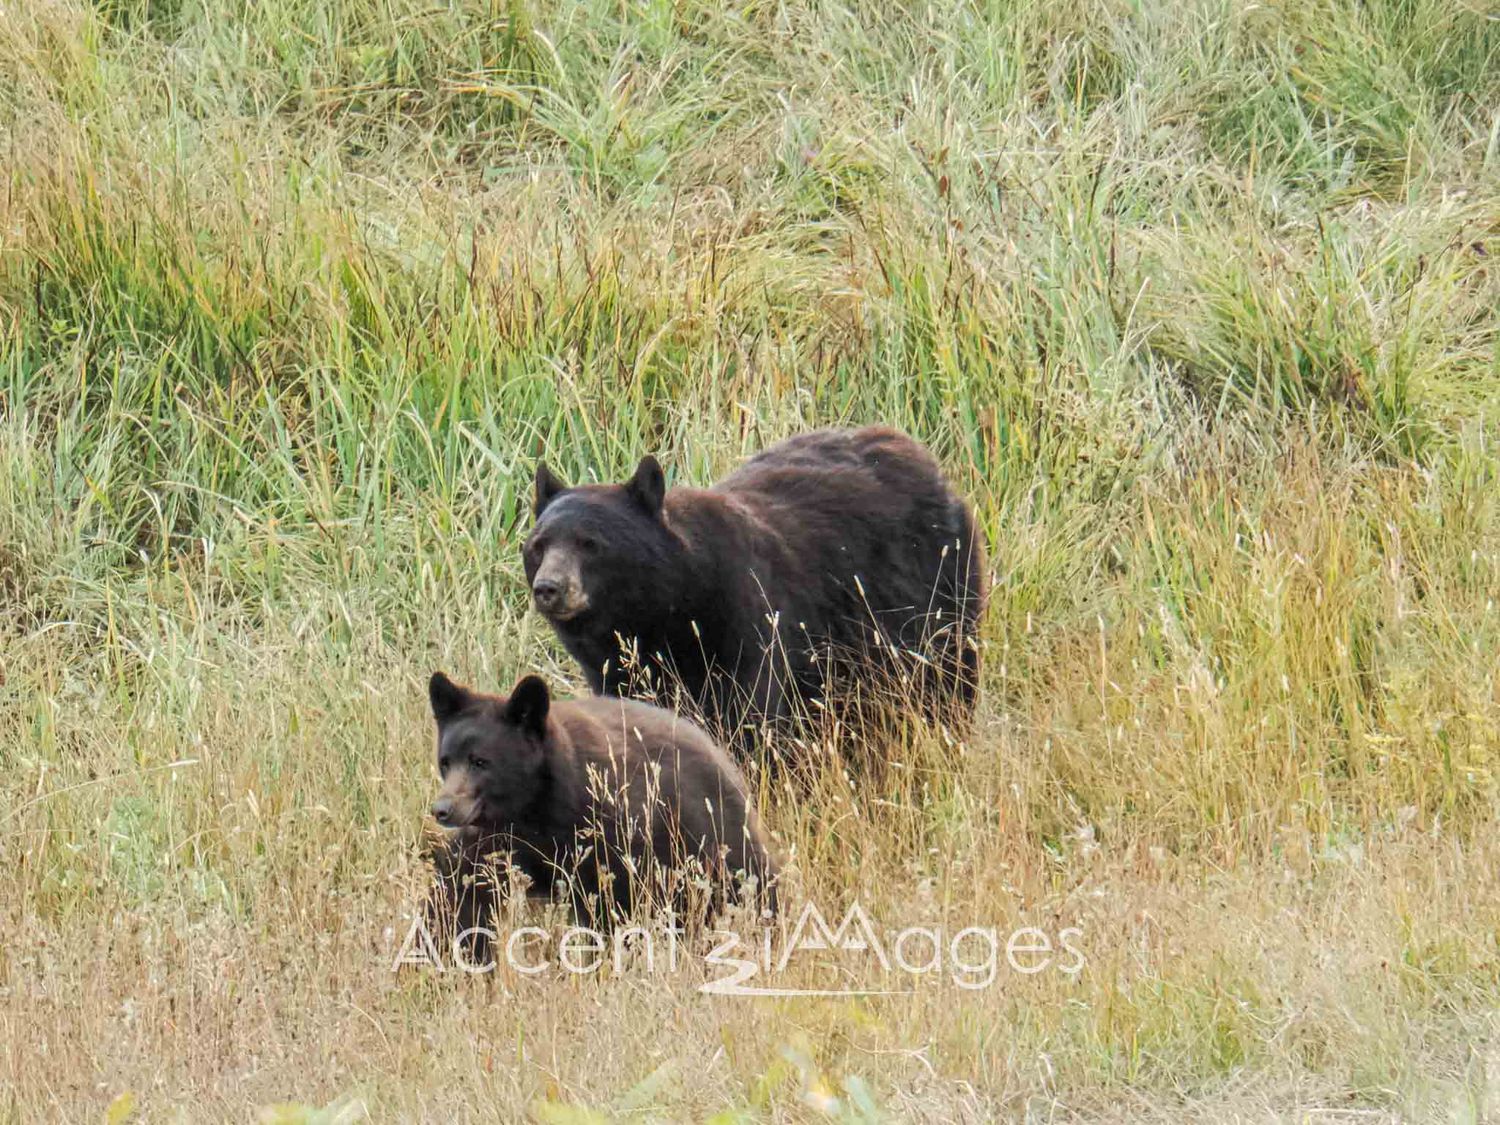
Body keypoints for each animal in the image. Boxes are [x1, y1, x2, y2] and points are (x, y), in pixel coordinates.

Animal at [423, 671, 778, 958]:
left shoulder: (613, 835)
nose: (442, 809)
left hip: (713, 840)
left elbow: (615, 909)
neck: (536, 808)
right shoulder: (494, 841)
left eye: (480, 761)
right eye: (445, 761)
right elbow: (463, 897)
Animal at [523, 425, 987, 758]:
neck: (663, 612)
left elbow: (748, 720)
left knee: (946, 684)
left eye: (591, 543)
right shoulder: (617, 670)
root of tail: (925, 459)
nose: (550, 588)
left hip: (938, 592)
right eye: (538, 545)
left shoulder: (743, 622)